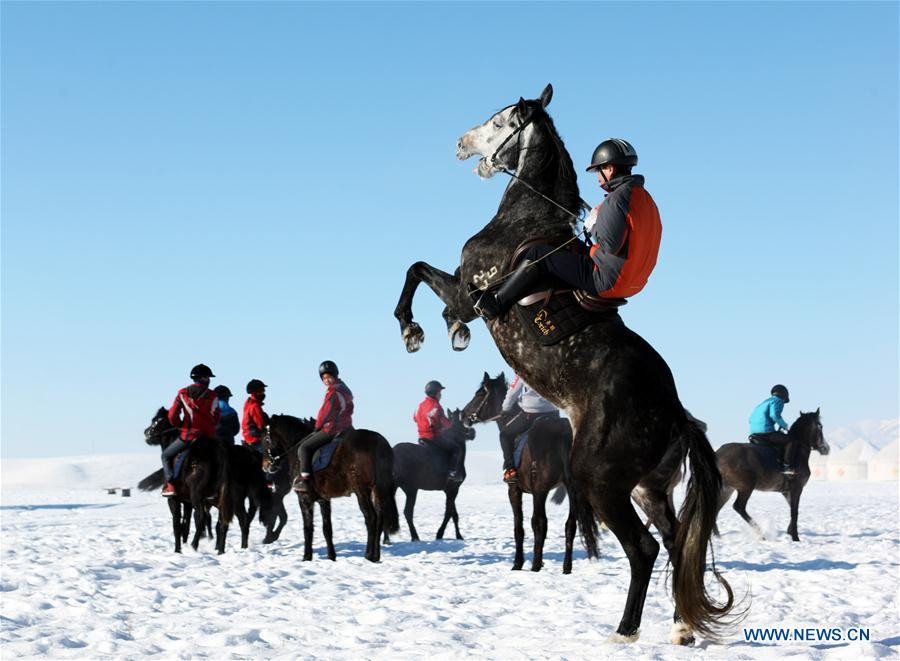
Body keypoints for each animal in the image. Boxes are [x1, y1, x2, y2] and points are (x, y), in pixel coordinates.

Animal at [262, 416, 400, 560]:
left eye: (266, 440)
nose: (265, 465)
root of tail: (378, 442)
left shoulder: (304, 498)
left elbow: (308, 528)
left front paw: (307, 557)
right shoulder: (324, 499)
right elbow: (327, 528)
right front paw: (331, 556)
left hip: (362, 491)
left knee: (371, 518)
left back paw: (368, 555)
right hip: (377, 490)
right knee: (379, 518)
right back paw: (376, 556)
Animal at [460, 372, 588, 572]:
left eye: (480, 394)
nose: (463, 414)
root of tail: (562, 433)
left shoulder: (514, 490)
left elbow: (518, 527)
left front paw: (517, 563)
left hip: (540, 490)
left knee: (540, 523)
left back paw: (535, 565)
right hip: (571, 489)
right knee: (570, 525)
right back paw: (566, 568)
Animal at [716, 408, 828, 540]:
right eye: (820, 426)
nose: (826, 448)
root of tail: (717, 455)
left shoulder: (786, 491)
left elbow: (792, 509)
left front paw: (790, 531)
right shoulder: (796, 487)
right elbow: (794, 511)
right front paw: (795, 537)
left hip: (727, 489)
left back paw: (716, 535)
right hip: (745, 487)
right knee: (738, 507)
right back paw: (760, 533)